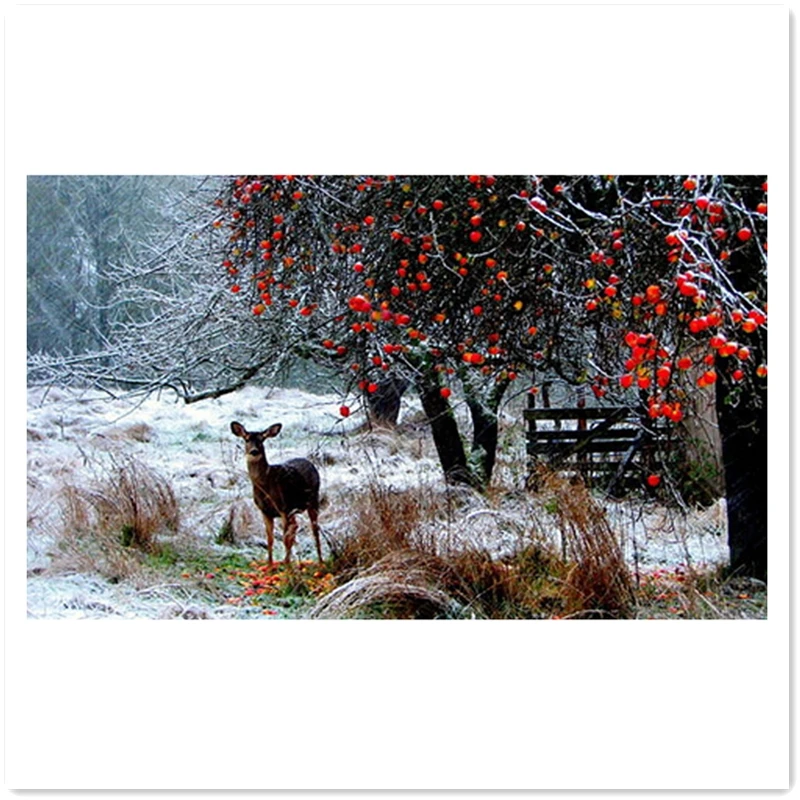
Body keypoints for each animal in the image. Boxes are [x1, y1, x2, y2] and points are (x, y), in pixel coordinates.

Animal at [230, 421, 322, 567]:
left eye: (262, 439)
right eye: (247, 439)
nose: (254, 451)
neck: (265, 485)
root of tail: (309, 462)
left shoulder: (283, 508)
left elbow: (285, 539)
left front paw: (287, 568)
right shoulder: (265, 511)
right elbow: (270, 539)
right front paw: (269, 566)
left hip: (313, 500)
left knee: (314, 529)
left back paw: (320, 561)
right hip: (293, 509)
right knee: (296, 526)